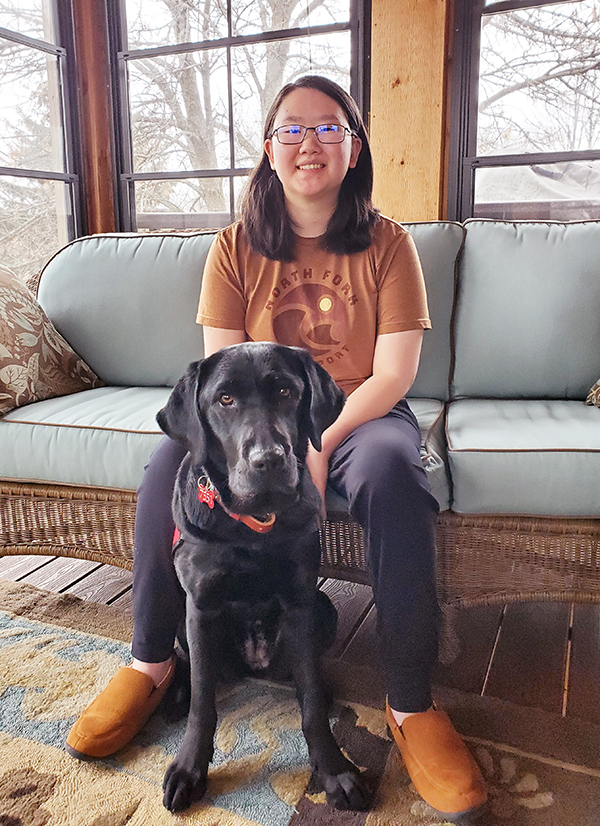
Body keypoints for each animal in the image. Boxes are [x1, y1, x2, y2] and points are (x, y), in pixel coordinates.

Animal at [157, 342, 368, 812]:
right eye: (225, 399)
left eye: (286, 392)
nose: (268, 460)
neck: (253, 526)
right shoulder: (199, 605)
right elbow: (203, 702)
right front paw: (189, 769)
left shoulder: (301, 601)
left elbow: (310, 704)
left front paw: (333, 769)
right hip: (181, 617)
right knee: (189, 667)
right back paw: (174, 694)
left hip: (324, 611)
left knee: (307, 677)